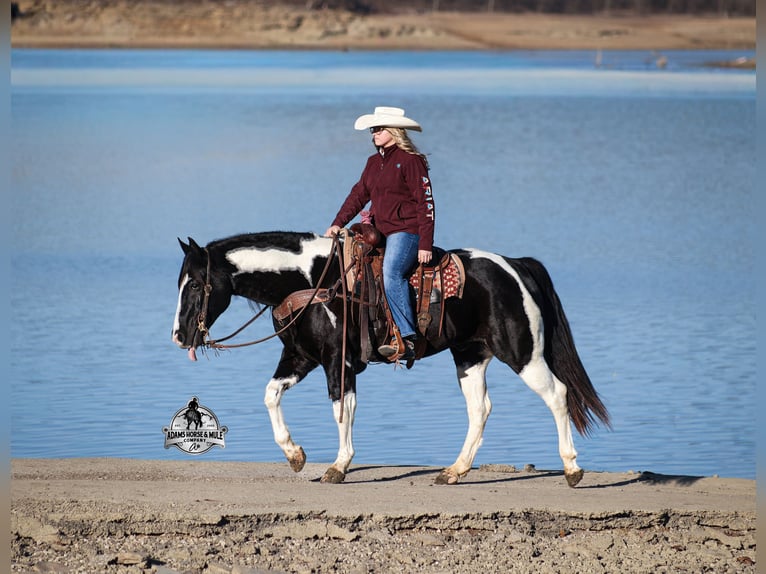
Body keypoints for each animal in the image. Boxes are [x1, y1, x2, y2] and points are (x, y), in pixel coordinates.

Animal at [172, 231, 610, 486]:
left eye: (194, 283)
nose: (179, 336)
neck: (313, 281)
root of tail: (515, 265)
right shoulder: (300, 358)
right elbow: (270, 395)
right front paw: (295, 456)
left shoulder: (339, 362)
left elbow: (342, 410)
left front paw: (338, 467)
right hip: (470, 356)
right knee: (480, 409)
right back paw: (454, 471)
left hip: (522, 353)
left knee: (557, 395)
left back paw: (572, 469)